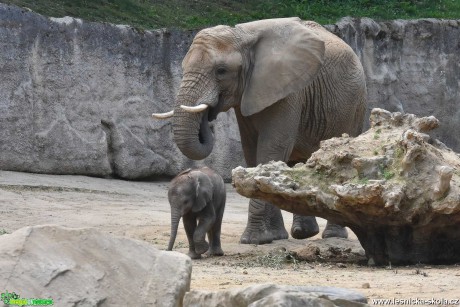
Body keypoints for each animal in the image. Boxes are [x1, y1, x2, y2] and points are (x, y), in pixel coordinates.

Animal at [153, 18, 368, 245]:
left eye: (221, 70)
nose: (208, 118)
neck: (242, 35)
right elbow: (252, 152)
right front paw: (274, 237)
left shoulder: (288, 89)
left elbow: (271, 149)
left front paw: (254, 239)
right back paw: (303, 233)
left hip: (355, 105)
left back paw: (332, 236)